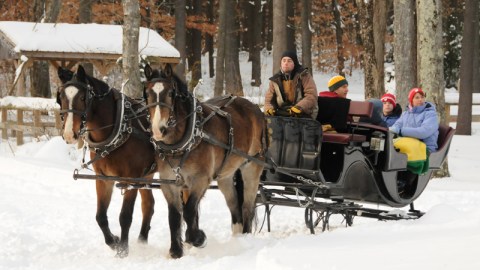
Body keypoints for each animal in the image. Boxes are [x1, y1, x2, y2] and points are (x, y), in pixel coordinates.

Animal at [57, 65, 156, 258]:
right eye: (61, 98)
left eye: (83, 97)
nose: (69, 134)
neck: (119, 129)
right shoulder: (103, 179)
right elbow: (100, 216)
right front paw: (114, 242)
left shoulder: (131, 179)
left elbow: (125, 216)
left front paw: (123, 250)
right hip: (147, 175)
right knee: (149, 205)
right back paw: (142, 241)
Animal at [143, 63, 266, 258]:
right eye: (147, 93)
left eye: (170, 93)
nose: (158, 129)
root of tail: (254, 108)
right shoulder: (169, 182)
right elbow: (174, 216)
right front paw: (176, 251)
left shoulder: (200, 179)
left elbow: (189, 210)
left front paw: (197, 238)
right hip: (225, 176)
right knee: (234, 206)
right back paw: (237, 239)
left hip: (252, 167)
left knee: (247, 206)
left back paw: (246, 239)